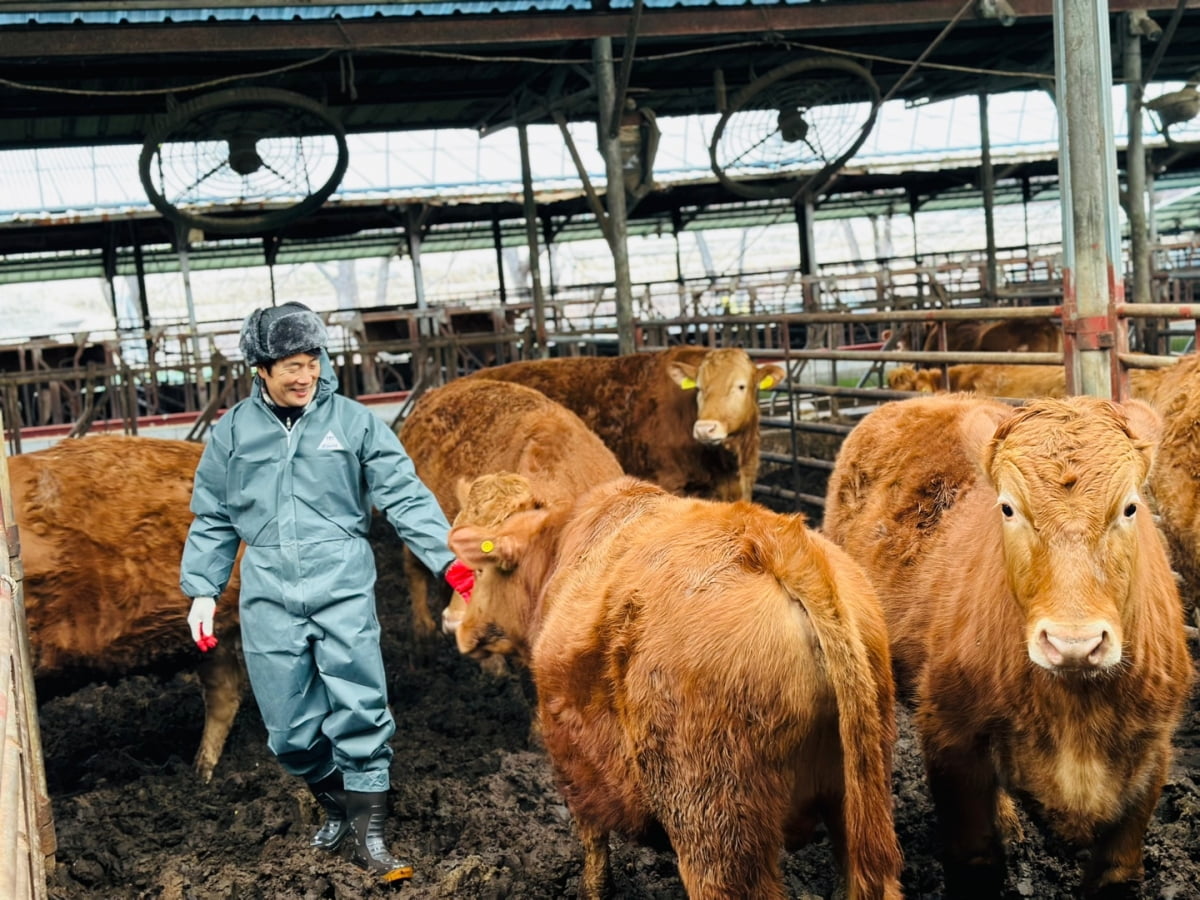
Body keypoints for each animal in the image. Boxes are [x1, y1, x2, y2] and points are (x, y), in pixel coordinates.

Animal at [451, 475, 902, 897]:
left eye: (477, 571)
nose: (457, 626)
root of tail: (772, 540)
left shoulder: (573, 759)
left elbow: (594, 848)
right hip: (858, 807)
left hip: (714, 829)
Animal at [820, 396, 1195, 900]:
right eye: (1008, 508)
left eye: (1130, 507)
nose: (1072, 644)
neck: (1076, 712)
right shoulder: (951, 738)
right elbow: (976, 857)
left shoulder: (1152, 755)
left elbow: (1117, 870)